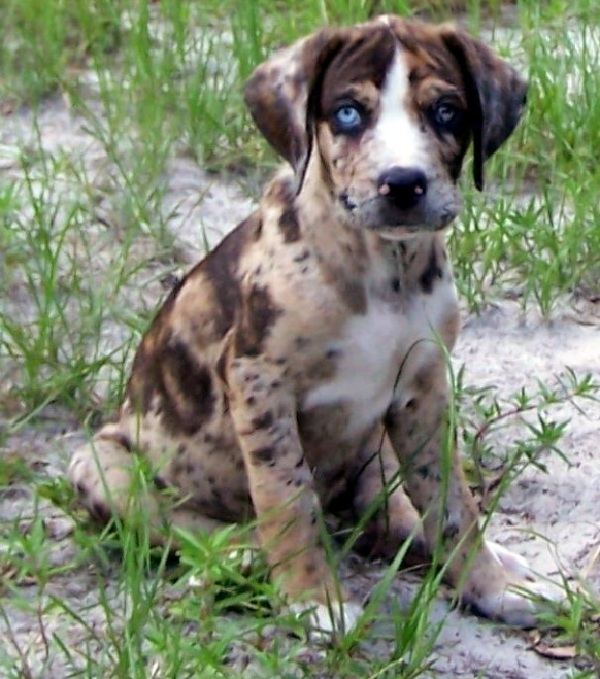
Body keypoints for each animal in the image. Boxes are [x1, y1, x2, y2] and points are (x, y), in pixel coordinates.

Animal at [67, 17, 552, 644]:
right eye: (347, 113)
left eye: (447, 110)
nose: (403, 183)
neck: (383, 269)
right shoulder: (257, 382)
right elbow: (288, 497)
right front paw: (311, 597)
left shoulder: (424, 391)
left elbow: (452, 506)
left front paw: (489, 584)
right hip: (100, 463)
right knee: (186, 524)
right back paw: (241, 553)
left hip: (376, 446)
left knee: (388, 510)